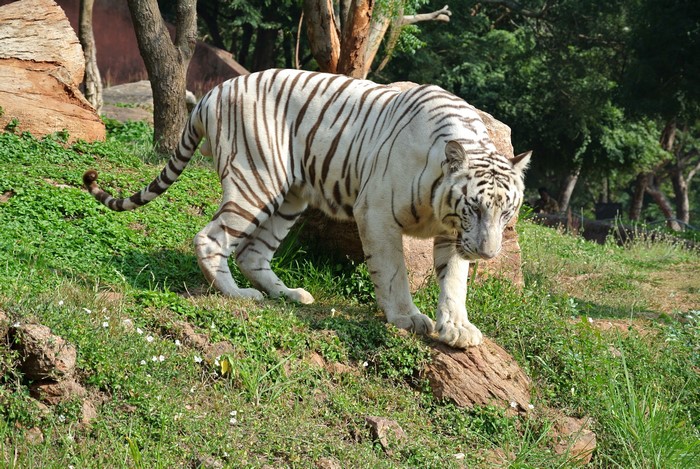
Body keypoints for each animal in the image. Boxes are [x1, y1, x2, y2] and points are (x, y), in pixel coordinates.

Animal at [83, 69, 530, 348]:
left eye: (507, 213)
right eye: (474, 207)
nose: (489, 253)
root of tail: (212, 91)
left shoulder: (451, 234)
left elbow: (454, 281)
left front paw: (457, 328)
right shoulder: (377, 214)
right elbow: (394, 272)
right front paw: (406, 317)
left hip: (290, 197)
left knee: (252, 252)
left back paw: (289, 294)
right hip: (256, 179)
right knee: (212, 239)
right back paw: (238, 294)